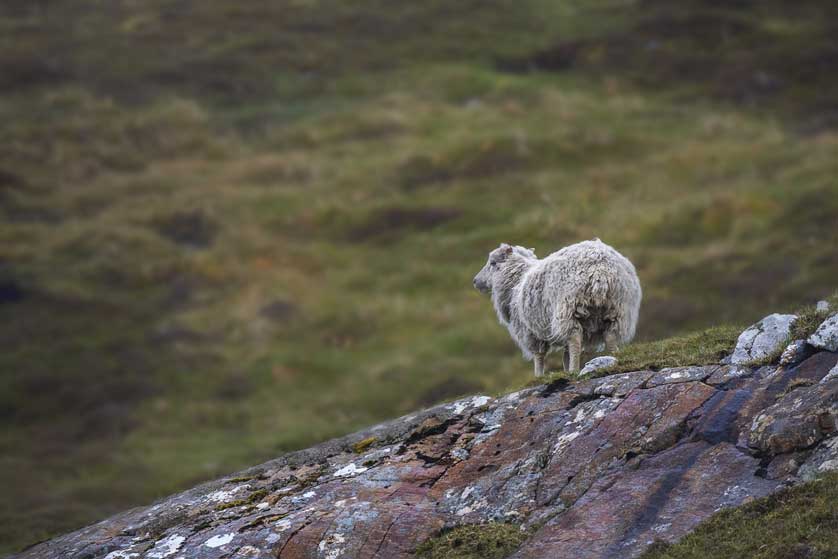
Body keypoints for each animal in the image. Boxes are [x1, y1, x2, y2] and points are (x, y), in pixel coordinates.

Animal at [472, 239, 641, 376]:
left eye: (493, 263)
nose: (475, 281)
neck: (517, 281)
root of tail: (600, 269)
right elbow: (565, 354)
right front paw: (564, 369)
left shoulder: (530, 332)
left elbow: (539, 356)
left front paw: (539, 376)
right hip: (616, 309)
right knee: (610, 336)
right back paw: (615, 359)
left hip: (569, 308)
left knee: (575, 340)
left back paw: (574, 370)